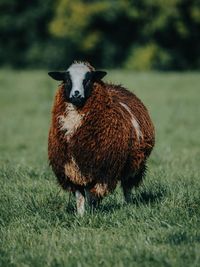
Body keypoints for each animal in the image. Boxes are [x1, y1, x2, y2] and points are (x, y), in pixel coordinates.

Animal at [48, 61, 155, 216]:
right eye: (67, 80)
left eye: (88, 79)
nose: (76, 94)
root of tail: (117, 86)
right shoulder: (72, 169)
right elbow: (80, 196)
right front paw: (81, 215)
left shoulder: (104, 170)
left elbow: (93, 194)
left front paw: (93, 211)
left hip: (134, 162)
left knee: (127, 186)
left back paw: (128, 205)